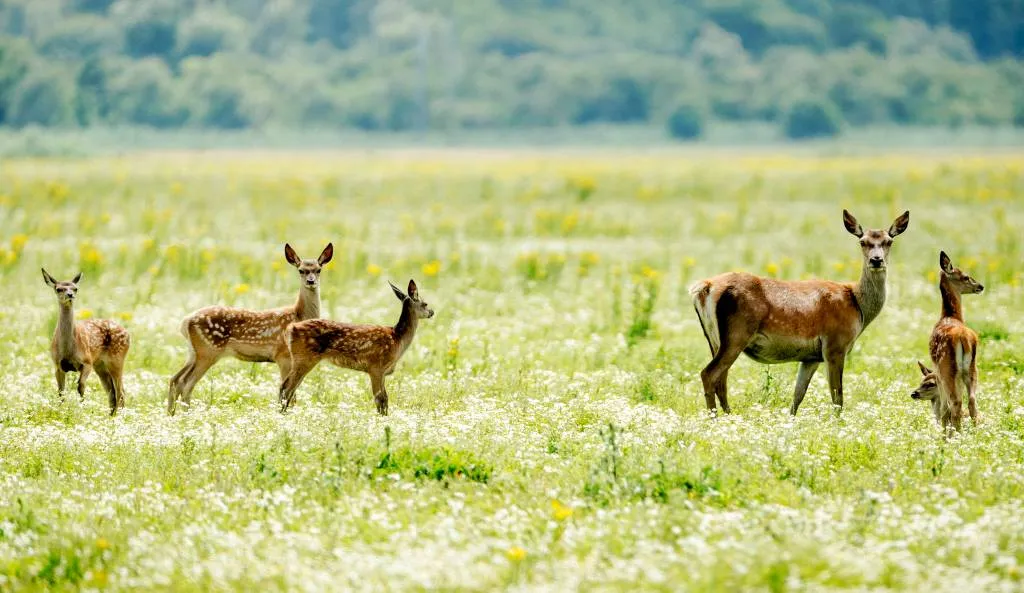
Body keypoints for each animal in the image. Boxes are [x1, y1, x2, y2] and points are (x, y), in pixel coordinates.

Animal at [41, 270, 130, 415]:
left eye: (75, 288)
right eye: (59, 289)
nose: (70, 295)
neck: (68, 349)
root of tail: (128, 332)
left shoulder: (87, 362)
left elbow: (80, 387)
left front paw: (81, 409)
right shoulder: (57, 364)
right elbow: (61, 392)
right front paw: (60, 412)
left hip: (117, 359)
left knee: (120, 391)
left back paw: (118, 416)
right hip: (101, 365)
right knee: (111, 392)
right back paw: (110, 416)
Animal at [168, 243, 331, 415]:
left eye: (318, 269)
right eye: (301, 270)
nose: (311, 281)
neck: (298, 316)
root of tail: (186, 321)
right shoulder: (283, 356)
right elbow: (288, 392)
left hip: (194, 352)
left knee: (175, 379)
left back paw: (171, 414)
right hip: (208, 351)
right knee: (186, 383)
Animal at [282, 280, 434, 415]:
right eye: (425, 303)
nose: (432, 312)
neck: (397, 339)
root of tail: (291, 328)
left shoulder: (382, 372)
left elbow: (385, 399)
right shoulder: (376, 368)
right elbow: (380, 399)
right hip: (304, 357)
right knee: (286, 387)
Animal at [688, 210, 913, 415]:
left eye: (888, 241)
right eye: (863, 242)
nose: (876, 260)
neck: (858, 306)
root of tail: (705, 286)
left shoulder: (811, 357)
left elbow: (798, 394)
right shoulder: (835, 344)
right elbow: (837, 397)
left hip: (714, 338)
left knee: (721, 379)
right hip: (737, 333)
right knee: (709, 373)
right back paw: (716, 418)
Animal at [913, 250, 983, 432]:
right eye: (966, 277)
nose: (980, 286)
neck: (949, 316)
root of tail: (963, 337)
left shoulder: (938, 372)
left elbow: (944, 408)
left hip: (948, 368)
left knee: (955, 403)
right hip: (971, 369)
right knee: (972, 401)